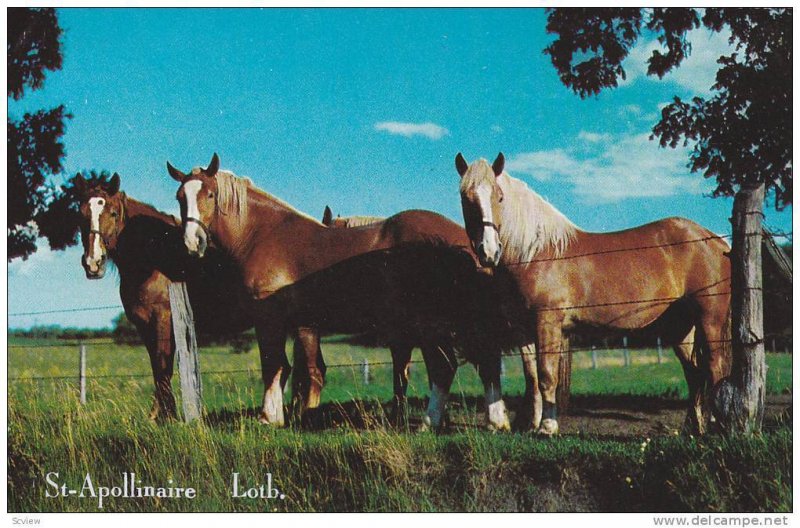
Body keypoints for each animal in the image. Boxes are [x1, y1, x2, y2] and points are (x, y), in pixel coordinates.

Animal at [72, 173, 328, 420]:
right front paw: (159, 414)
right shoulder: (145, 326)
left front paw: (164, 416)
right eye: (81, 214)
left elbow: (163, 366)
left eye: (113, 213)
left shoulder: (163, 320)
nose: (93, 262)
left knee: (314, 371)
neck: (156, 257)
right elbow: (156, 367)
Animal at [167, 155, 524, 432]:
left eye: (210, 193)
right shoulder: (298, 324)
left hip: (432, 323)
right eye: (180, 197)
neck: (263, 234)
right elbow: (288, 368)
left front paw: (269, 417)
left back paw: (438, 421)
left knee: (449, 365)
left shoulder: (268, 317)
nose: (192, 243)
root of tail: (467, 241)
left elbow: (273, 365)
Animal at [456, 152, 732, 434]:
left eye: (499, 196)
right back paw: (692, 428)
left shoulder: (547, 322)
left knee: (715, 367)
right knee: (694, 373)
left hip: (709, 319)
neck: (536, 253)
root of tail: (716, 239)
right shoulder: (524, 329)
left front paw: (548, 427)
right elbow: (531, 376)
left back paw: (718, 426)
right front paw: (531, 424)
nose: (489, 251)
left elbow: (546, 375)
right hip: (681, 328)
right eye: (466, 198)